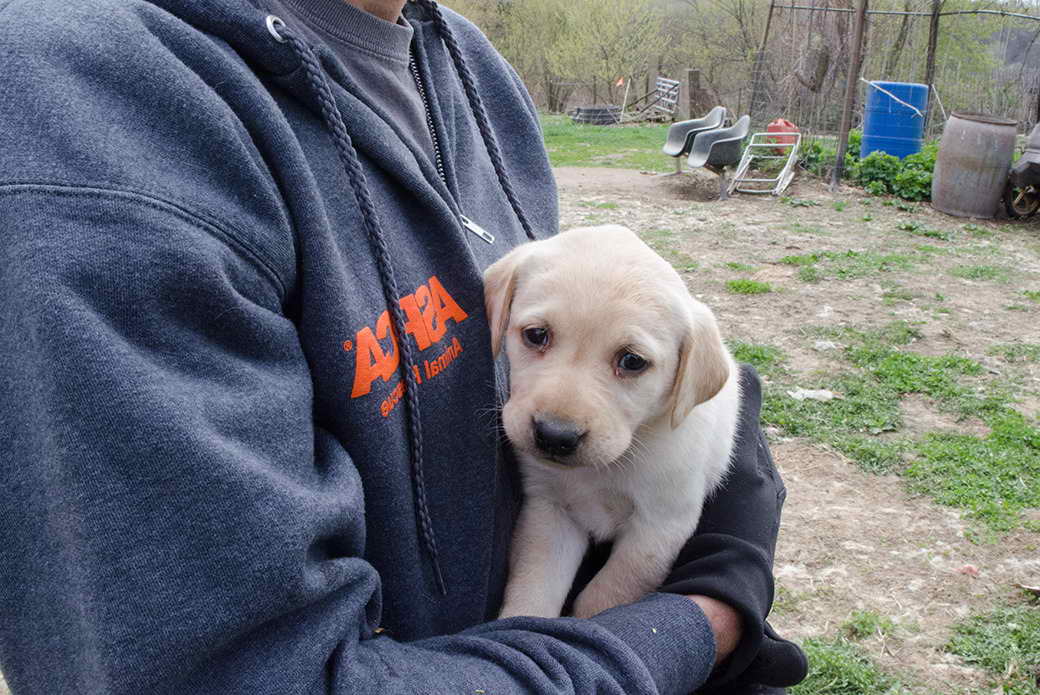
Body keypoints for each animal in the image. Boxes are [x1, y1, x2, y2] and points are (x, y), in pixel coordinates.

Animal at [486, 223, 740, 620]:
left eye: (632, 361)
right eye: (536, 334)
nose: (555, 436)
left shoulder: (659, 526)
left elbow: (607, 595)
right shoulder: (550, 510)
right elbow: (534, 588)